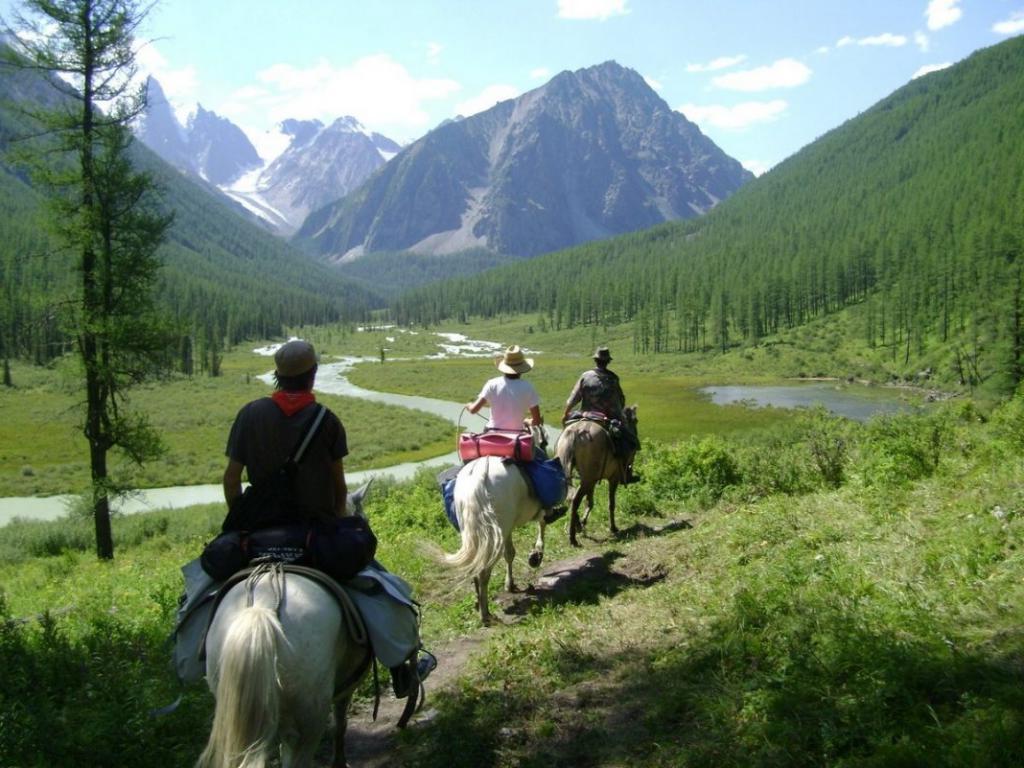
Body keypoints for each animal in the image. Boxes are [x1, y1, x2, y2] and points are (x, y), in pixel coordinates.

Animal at [442, 423, 548, 626]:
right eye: (545, 442)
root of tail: (477, 480)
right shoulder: (534, 514)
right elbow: (542, 523)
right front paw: (536, 555)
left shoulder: (506, 529)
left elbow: (510, 553)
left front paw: (511, 583)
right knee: (484, 571)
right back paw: (485, 614)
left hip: (478, 532)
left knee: (476, 564)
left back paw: (479, 604)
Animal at [557, 405, 634, 548]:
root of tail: (576, 432)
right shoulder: (613, 478)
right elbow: (611, 503)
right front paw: (613, 527)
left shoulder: (593, 480)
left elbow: (590, 502)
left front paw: (583, 522)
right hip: (588, 479)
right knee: (575, 499)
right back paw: (573, 538)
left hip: (580, 476)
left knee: (571, 497)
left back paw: (577, 528)